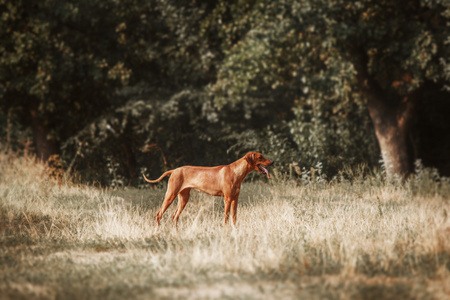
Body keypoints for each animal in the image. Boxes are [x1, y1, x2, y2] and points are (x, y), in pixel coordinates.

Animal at [144, 151, 272, 229]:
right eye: (260, 157)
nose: (272, 162)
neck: (236, 172)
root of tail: (174, 170)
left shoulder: (235, 199)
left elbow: (234, 217)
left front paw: (234, 229)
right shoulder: (227, 199)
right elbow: (226, 216)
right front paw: (225, 229)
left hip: (184, 198)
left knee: (174, 216)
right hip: (170, 195)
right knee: (159, 214)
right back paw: (157, 231)